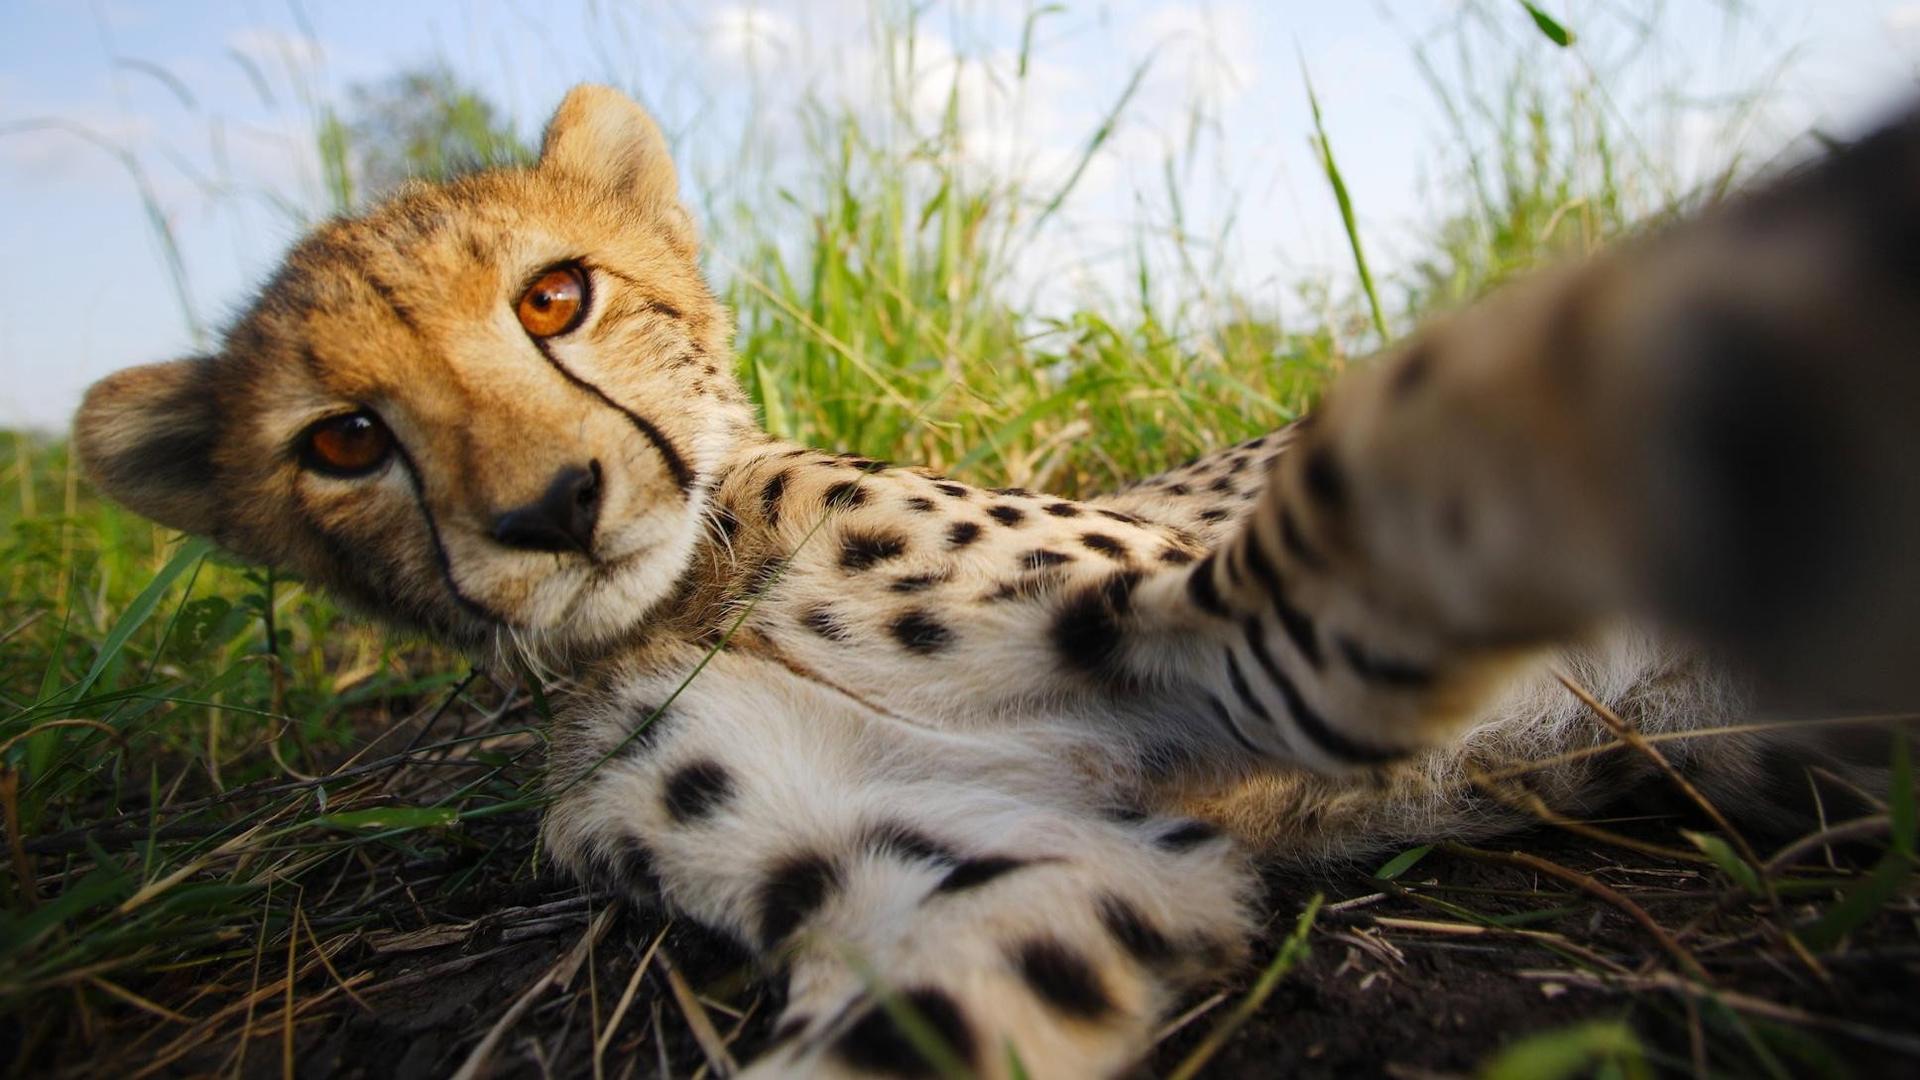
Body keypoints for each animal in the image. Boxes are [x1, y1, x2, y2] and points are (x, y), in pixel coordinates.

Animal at [72, 84, 1920, 1077]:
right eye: (342, 443)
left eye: (554, 297)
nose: (555, 506)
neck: (685, 602)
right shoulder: (1019, 873)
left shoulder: (1182, 624)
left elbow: (1337, 506)